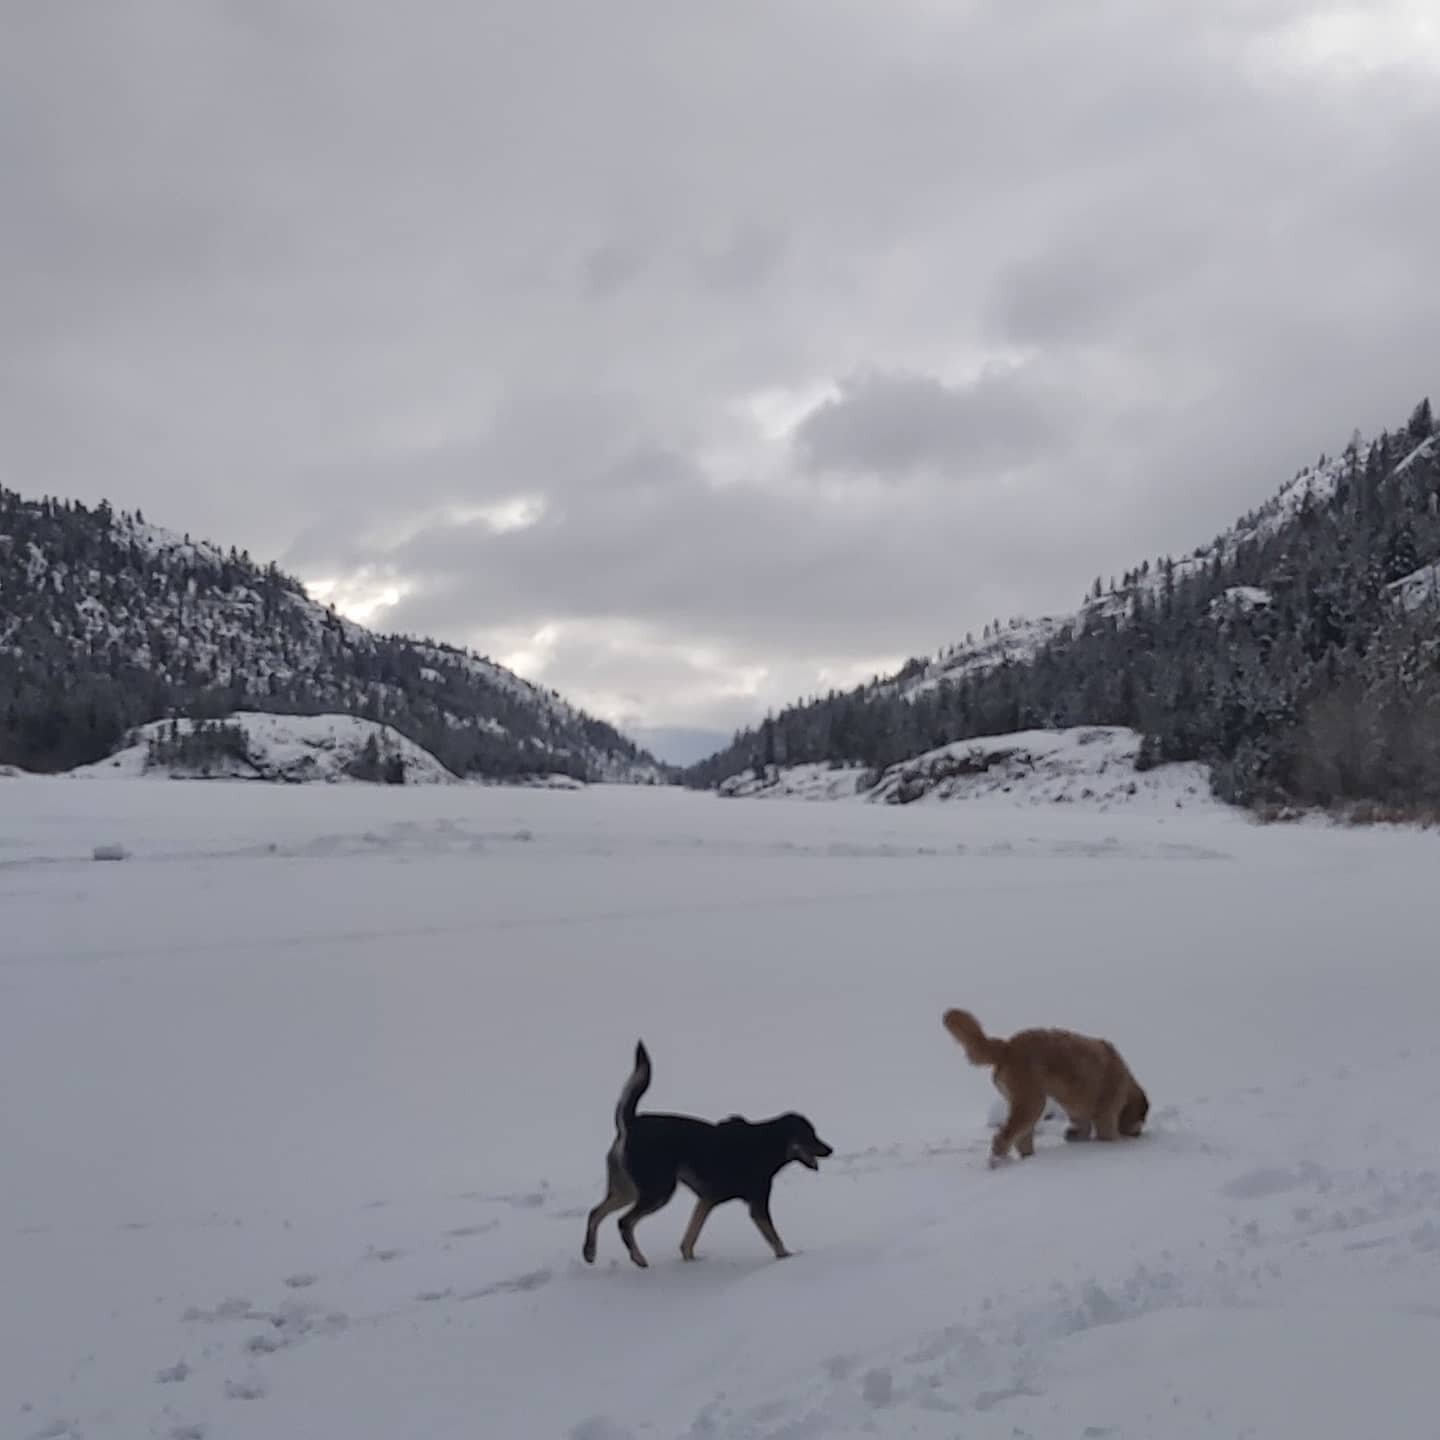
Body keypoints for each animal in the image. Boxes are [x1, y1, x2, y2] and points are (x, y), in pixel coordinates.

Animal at [581, 1042, 835, 1267]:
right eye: (811, 1136)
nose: (830, 1149)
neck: (767, 1143)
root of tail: (631, 1124)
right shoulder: (757, 1204)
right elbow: (775, 1239)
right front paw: (787, 1258)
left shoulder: (707, 1199)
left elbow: (690, 1237)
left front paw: (691, 1262)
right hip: (658, 1190)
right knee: (624, 1221)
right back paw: (638, 1258)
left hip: (630, 1189)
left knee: (595, 1212)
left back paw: (590, 1252)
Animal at [944, 1008, 1146, 1163]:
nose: (1139, 1134)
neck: (1126, 1082)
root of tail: (1008, 1046)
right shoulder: (1106, 1114)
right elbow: (1108, 1133)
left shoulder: (1080, 1112)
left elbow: (1082, 1127)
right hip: (1031, 1102)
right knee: (1004, 1137)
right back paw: (1000, 1161)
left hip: (1027, 1102)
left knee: (1021, 1138)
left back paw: (1029, 1159)